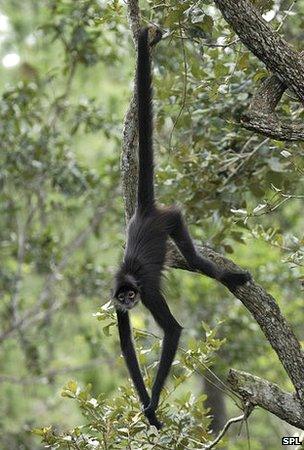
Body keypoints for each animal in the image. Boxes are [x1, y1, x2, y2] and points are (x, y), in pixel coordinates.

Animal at [113, 26, 251, 430]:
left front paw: (153, 404)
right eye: (123, 297)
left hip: (172, 219)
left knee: (193, 255)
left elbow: (172, 331)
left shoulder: (148, 290)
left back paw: (227, 276)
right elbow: (126, 347)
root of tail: (145, 212)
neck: (129, 279)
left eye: (133, 294)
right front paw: (149, 410)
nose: (129, 301)